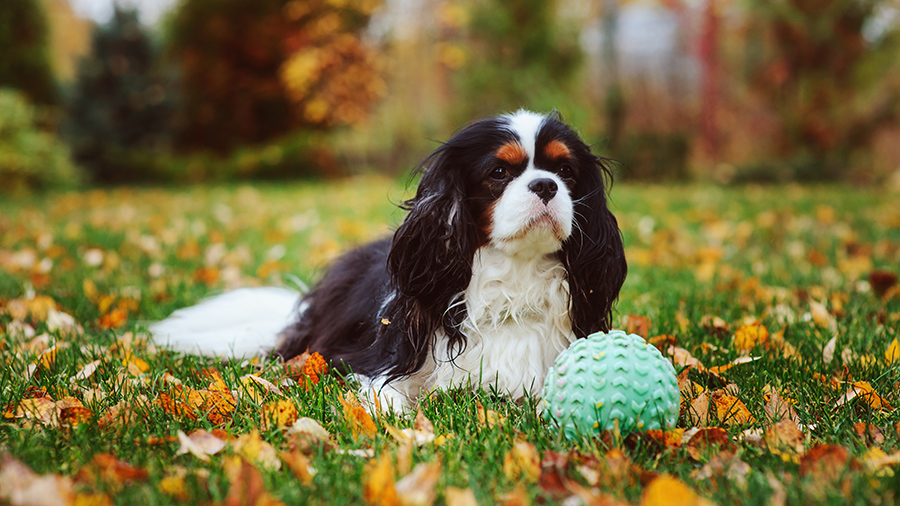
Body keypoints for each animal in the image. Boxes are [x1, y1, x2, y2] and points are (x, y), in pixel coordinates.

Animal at [149, 110, 624, 412]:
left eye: (566, 172)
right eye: (499, 173)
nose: (546, 186)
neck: (512, 279)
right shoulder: (376, 360)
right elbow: (386, 397)